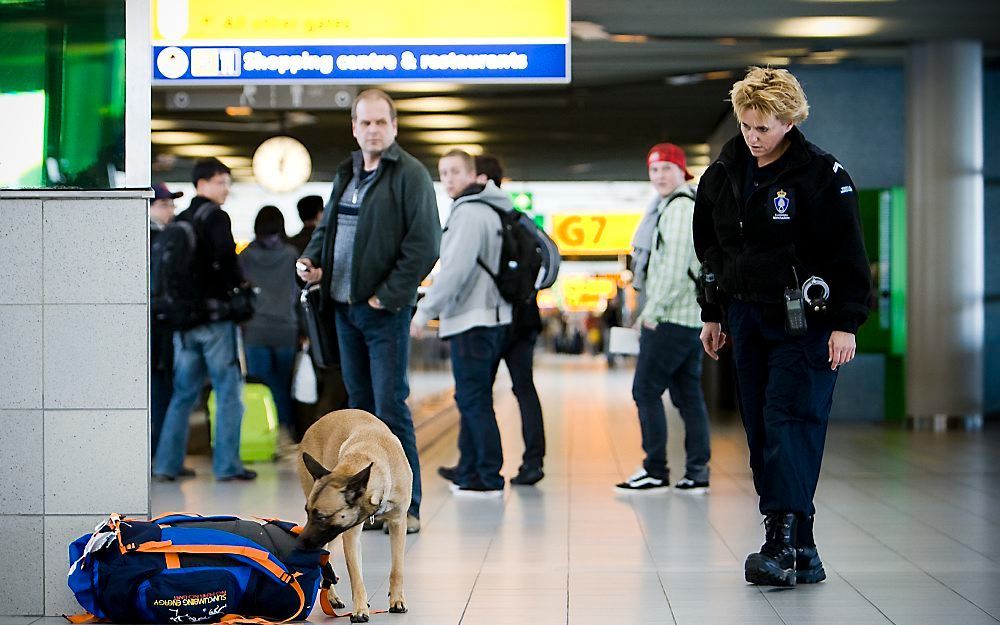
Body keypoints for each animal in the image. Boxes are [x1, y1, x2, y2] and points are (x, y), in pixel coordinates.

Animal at [294, 410, 412, 620]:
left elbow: (397, 569)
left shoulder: (398, 523)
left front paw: (397, 600)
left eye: (321, 517)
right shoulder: (350, 534)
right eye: (307, 512)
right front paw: (360, 609)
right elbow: (356, 575)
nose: (300, 543)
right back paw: (332, 598)